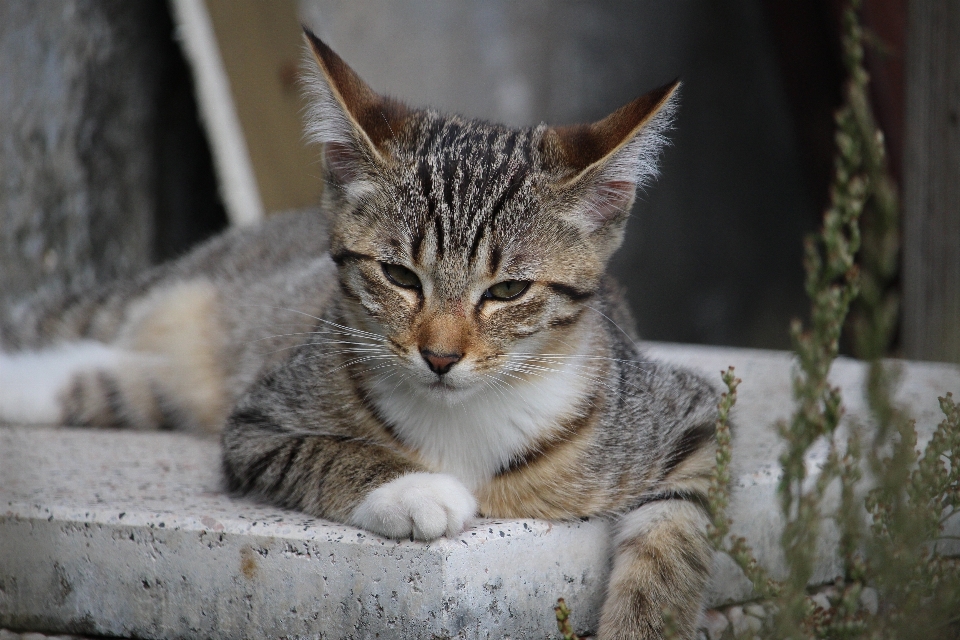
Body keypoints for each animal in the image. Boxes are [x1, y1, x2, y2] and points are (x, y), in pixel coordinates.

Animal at [0, 30, 720, 640]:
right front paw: (415, 490)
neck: (466, 416)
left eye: (508, 291)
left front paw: (647, 619)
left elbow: (677, 532)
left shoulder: (684, 413)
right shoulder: (258, 421)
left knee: (106, 379)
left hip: (167, 381)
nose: (440, 355)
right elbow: (322, 453)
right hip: (165, 298)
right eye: (399, 275)